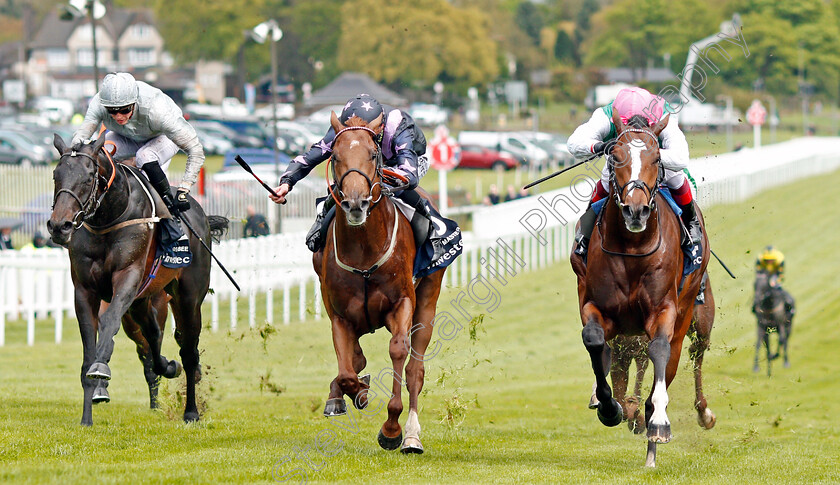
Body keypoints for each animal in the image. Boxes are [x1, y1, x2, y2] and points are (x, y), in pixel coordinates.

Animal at [46, 132, 226, 424]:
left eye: (88, 178)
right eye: (56, 175)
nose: (59, 226)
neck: (108, 219)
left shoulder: (127, 277)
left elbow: (109, 321)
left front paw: (101, 367)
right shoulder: (84, 290)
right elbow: (89, 350)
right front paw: (87, 418)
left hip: (188, 296)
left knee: (188, 349)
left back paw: (191, 410)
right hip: (142, 301)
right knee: (152, 336)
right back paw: (167, 366)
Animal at [314, 111, 446, 452]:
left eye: (373, 155)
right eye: (335, 155)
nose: (355, 203)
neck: (364, 248)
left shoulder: (402, 303)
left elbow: (399, 352)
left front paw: (391, 429)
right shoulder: (340, 315)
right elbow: (347, 369)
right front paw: (355, 392)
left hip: (427, 301)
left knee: (415, 369)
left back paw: (411, 436)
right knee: (355, 359)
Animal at [568, 109, 712, 466]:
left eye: (656, 157)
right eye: (614, 156)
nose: (636, 210)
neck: (633, 247)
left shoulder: (665, 311)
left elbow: (658, 350)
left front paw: (658, 421)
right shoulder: (596, 306)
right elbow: (595, 341)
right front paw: (608, 406)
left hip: (687, 313)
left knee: (671, 358)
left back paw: (651, 438)